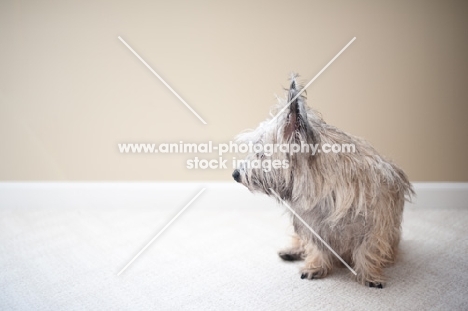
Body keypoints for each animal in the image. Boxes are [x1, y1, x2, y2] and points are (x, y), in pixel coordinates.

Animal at [231, 74, 414, 288]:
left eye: (260, 153)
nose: (235, 174)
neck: (323, 189)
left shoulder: (377, 225)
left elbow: (367, 249)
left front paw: (369, 274)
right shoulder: (311, 225)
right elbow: (315, 246)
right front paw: (316, 266)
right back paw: (292, 251)